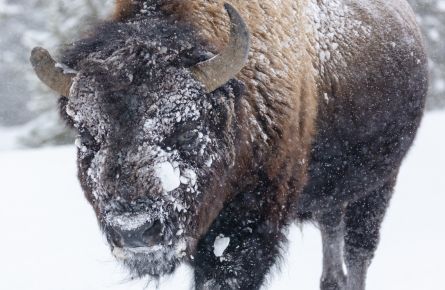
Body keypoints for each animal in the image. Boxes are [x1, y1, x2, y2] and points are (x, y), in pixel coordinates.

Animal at [30, 0, 426, 290]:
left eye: (188, 129)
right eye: (87, 136)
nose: (134, 231)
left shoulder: (248, 225)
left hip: (379, 183)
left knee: (359, 250)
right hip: (335, 192)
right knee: (332, 234)